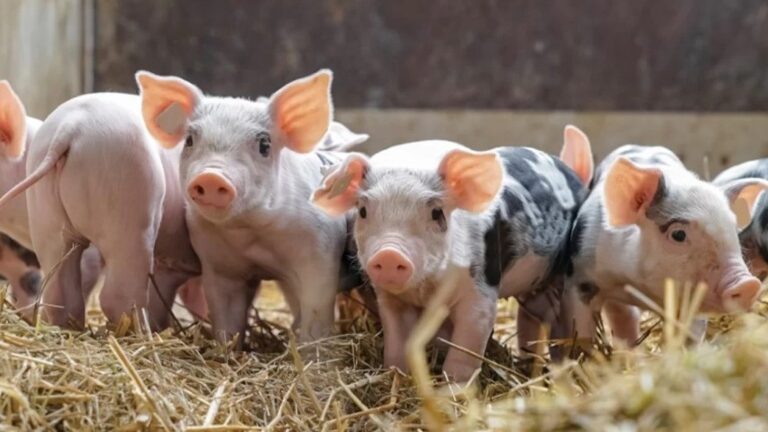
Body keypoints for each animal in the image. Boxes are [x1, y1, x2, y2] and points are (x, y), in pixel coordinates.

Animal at [136, 69, 369, 345]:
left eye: (264, 145)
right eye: (190, 140)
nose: (211, 177)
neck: (252, 232)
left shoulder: (320, 255)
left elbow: (316, 311)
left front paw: (310, 351)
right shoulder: (219, 266)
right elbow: (227, 319)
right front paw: (227, 349)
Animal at [310, 126, 594, 381]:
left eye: (436, 213)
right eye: (363, 211)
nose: (389, 254)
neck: (426, 290)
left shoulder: (481, 289)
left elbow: (467, 344)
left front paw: (453, 390)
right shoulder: (391, 301)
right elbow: (397, 342)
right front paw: (396, 377)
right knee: (531, 318)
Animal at [563, 144, 767, 349]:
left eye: (733, 229)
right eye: (678, 235)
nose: (748, 284)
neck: (636, 285)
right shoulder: (580, 277)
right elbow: (580, 331)